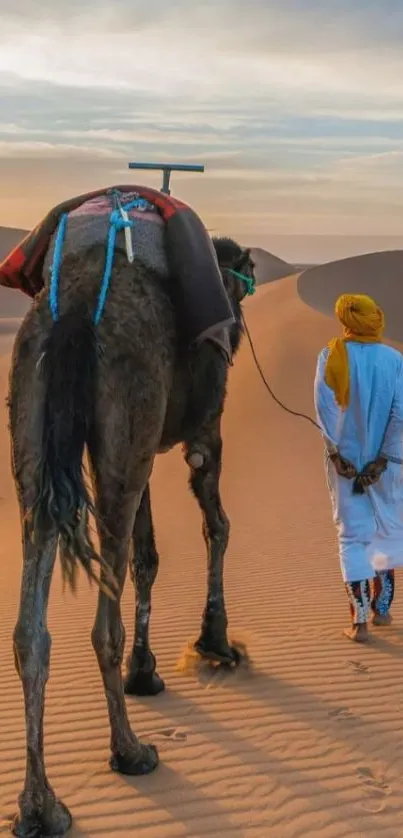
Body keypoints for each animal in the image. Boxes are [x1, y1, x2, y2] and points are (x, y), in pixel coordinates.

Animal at [7, 228, 256, 832]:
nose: (238, 325)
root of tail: (74, 310)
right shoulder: (204, 433)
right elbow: (218, 526)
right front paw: (215, 641)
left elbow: (148, 558)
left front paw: (145, 671)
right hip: (127, 422)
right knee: (104, 624)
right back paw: (130, 750)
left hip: (34, 429)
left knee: (31, 630)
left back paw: (40, 806)